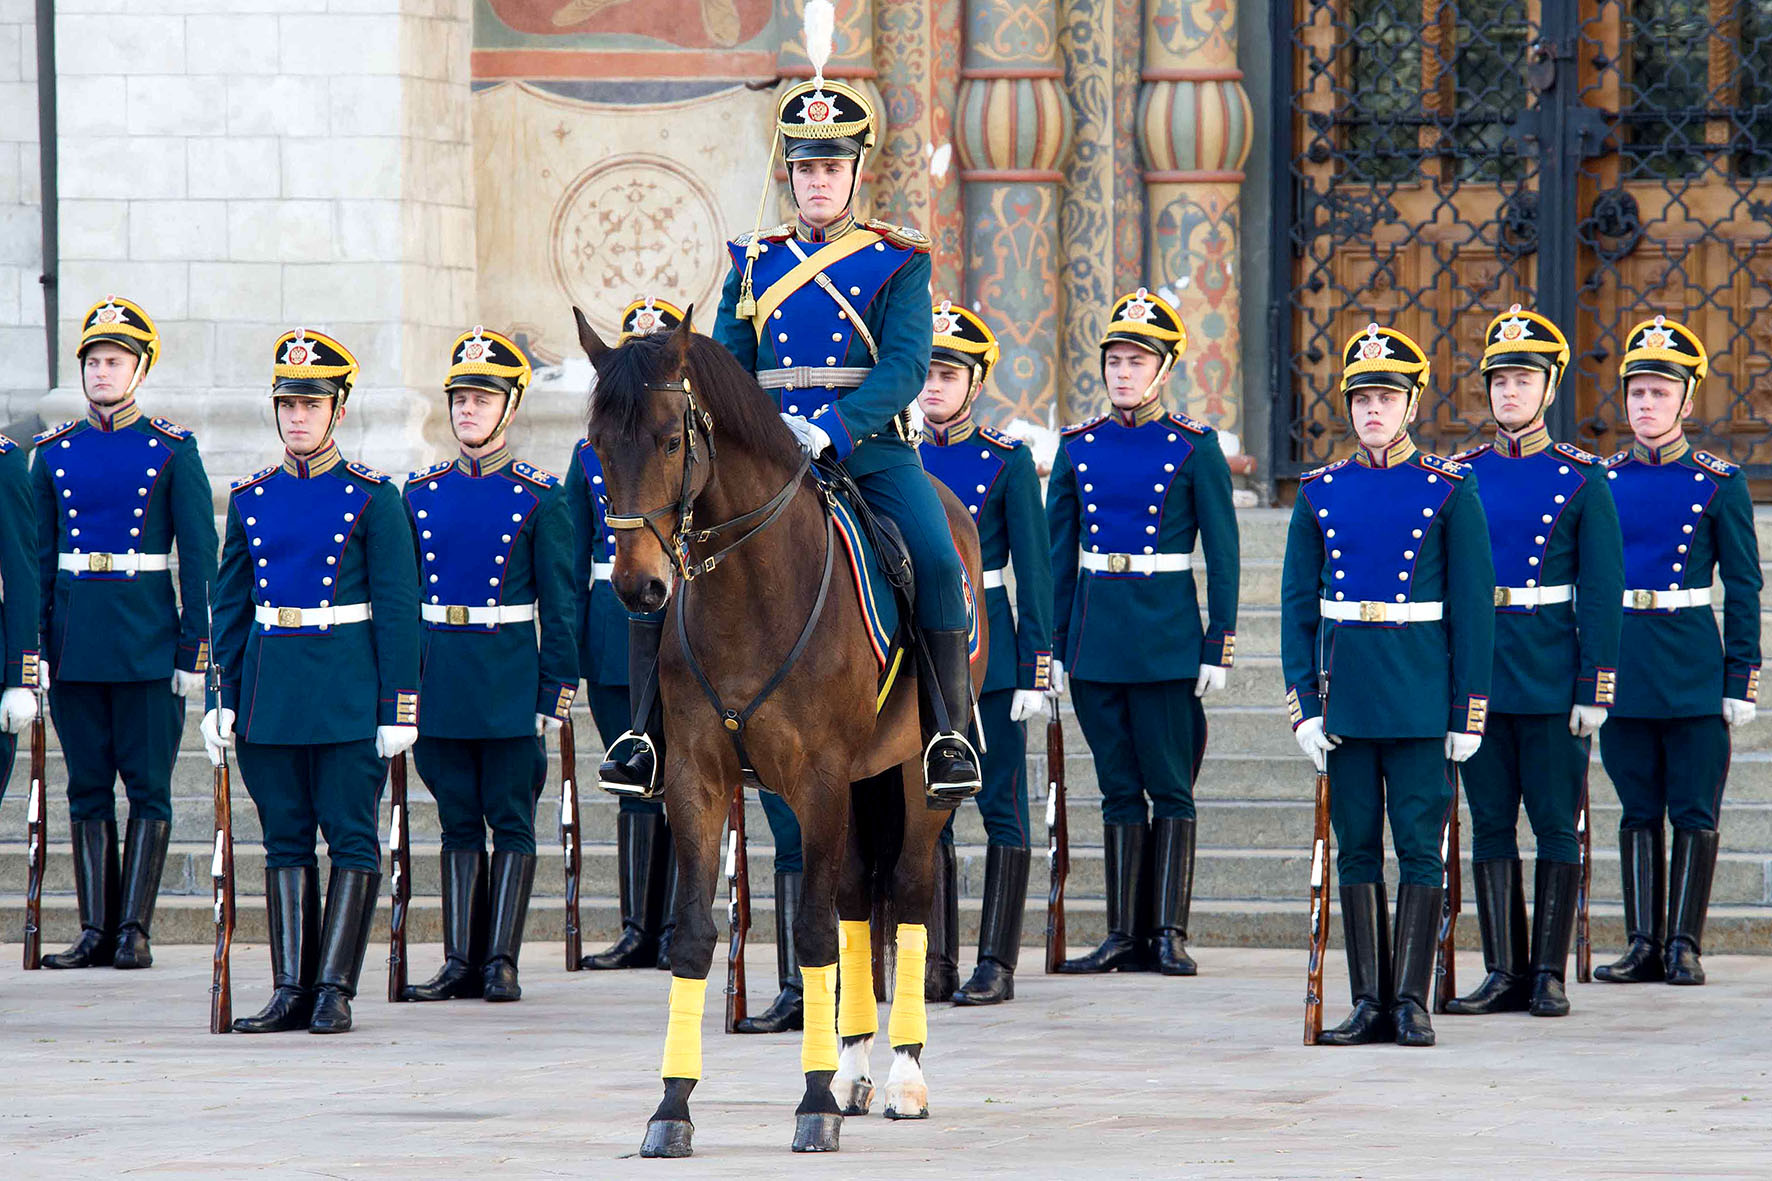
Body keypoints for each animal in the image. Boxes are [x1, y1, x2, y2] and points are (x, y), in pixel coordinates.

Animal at [581, 299, 999, 1156]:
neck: (749, 591)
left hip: (910, 777)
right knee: (855, 894)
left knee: (908, 892)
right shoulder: (698, 780)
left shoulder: (818, 777)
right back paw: (855, 1069)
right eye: (598, 444)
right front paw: (672, 1107)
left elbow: (808, 932)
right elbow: (695, 936)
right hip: (859, 781)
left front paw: (812, 1101)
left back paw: (903, 1075)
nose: (641, 587)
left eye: (670, 438)